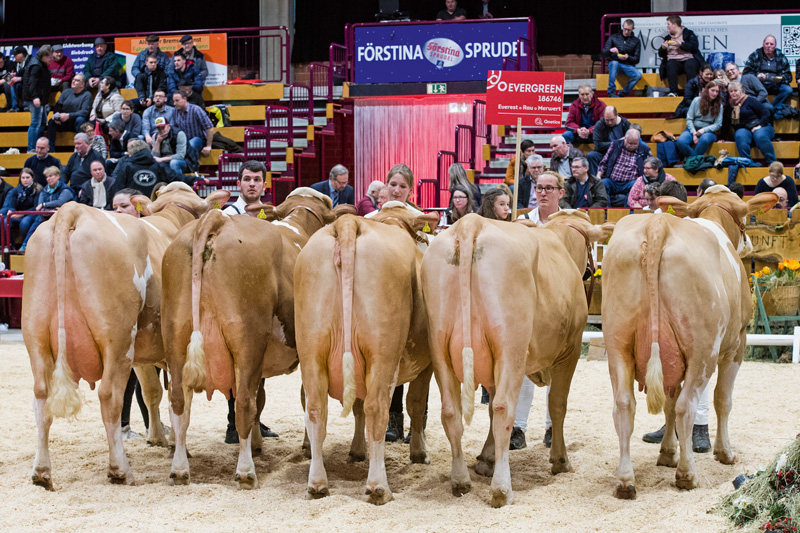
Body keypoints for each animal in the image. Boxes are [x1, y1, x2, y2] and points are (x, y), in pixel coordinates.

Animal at [24, 181, 231, 488]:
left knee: (41, 396)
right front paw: (176, 447)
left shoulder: (144, 351)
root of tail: (72, 210)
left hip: (36, 337)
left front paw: (158, 438)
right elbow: (179, 399)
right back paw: (120, 470)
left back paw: (41, 472)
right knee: (110, 396)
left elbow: (152, 392)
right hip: (117, 339)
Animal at [162, 186, 350, 486]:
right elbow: (304, 397)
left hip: (175, 337)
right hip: (247, 340)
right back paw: (245, 472)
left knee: (179, 403)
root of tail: (216, 219)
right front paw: (307, 446)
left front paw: (259, 443)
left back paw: (180, 469)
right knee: (243, 404)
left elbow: (262, 397)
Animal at [298, 203, 440, 502]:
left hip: (311, 349)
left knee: (316, 409)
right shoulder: (427, 363)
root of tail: (348, 224)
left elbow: (357, 408)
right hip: (382, 352)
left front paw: (356, 450)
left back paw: (317, 483)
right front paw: (419, 453)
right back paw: (378, 487)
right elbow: (416, 404)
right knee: (377, 408)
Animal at [418, 210, 612, 504]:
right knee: (503, 409)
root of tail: (471, 222)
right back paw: (502, 489)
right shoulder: (570, 350)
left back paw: (460, 480)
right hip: (511, 347)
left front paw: (486, 459)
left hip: (440, 347)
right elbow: (557, 404)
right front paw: (560, 460)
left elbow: (487, 408)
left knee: (452, 412)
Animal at [608, 185, 776, 496]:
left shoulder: (673, 358)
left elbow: (669, 402)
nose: (748, 243)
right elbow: (722, 399)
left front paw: (667, 453)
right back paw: (687, 474)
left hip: (618, 342)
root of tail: (658, 224)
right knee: (687, 405)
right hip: (703, 351)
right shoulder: (737, 344)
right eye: (748, 216)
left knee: (625, 405)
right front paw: (724, 452)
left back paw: (626, 480)